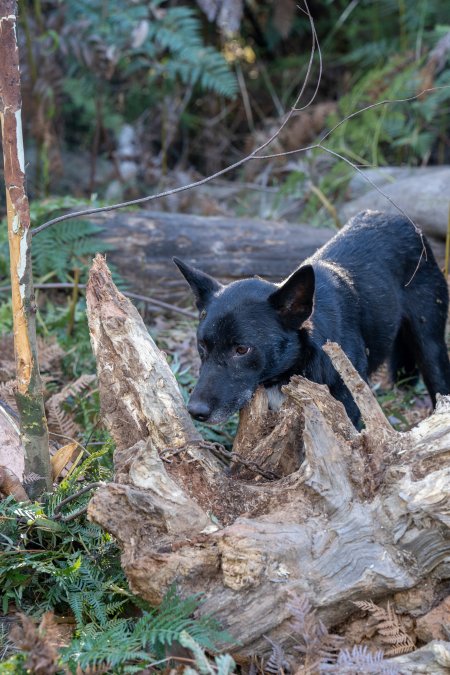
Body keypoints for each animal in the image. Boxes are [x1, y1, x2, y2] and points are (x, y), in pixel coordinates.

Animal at [173, 211, 450, 426]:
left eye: (242, 349)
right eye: (202, 345)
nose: (195, 412)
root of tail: (402, 220)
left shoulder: (347, 406)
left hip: (430, 346)